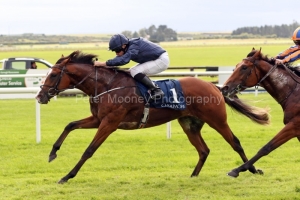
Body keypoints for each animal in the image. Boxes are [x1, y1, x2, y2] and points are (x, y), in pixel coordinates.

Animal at [35, 50, 270, 184]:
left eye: (53, 74)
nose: (40, 96)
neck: (105, 86)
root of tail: (215, 87)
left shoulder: (110, 123)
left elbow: (89, 150)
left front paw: (67, 176)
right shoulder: (99, 120)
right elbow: (70, 125)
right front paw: (52, 153)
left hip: (217, 120)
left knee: (235, 142)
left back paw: (251, 169)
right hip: (189, 124)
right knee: (203, 150)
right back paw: (193, 176)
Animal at [221, 48, 300, 178]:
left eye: (244, 67)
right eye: (236, 66)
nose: (224, 88)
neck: (295, 93)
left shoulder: (294, 125)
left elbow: (267, 147)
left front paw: (237, 170)